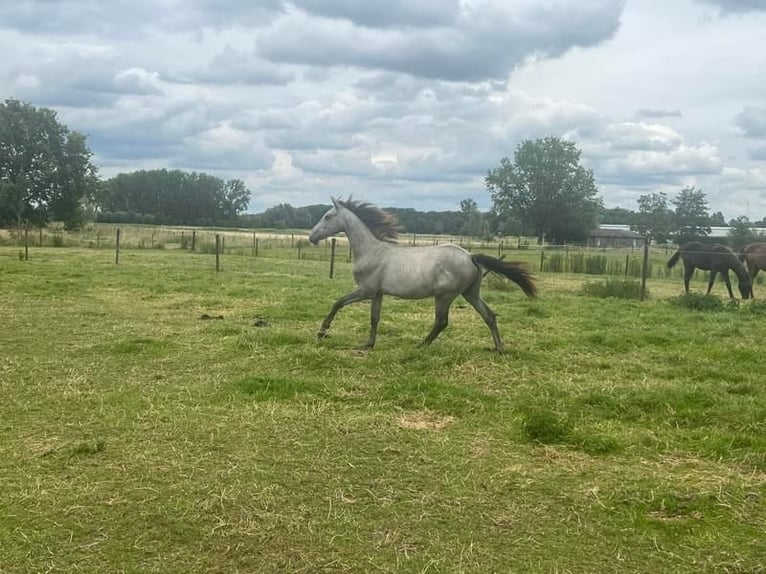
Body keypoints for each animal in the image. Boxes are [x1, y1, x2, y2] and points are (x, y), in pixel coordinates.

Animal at [308, 197, 536, 352]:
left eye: (327, 216)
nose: (311, 237)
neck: (371, 251)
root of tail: (470, 256)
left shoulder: (366, 290)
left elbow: (338, 302)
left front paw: (322, 331)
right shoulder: (378, 294)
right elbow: (374, 318)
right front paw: (369, 344)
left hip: (445, 296)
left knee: (442, 322)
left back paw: (421, 344)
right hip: (470, 293)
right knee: (489, 315)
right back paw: (499, 349)